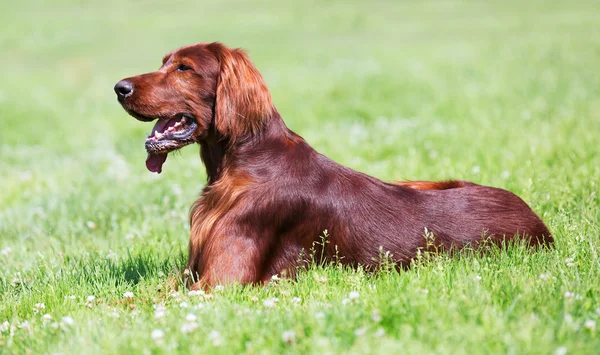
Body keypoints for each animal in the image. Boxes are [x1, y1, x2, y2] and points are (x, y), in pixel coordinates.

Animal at [113, 43, 552, 290]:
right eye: (165, 62)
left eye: (184, 68)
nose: (119, 88)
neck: (243, 165)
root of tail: (540, 224)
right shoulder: (192, 275)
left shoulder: (223, 284)